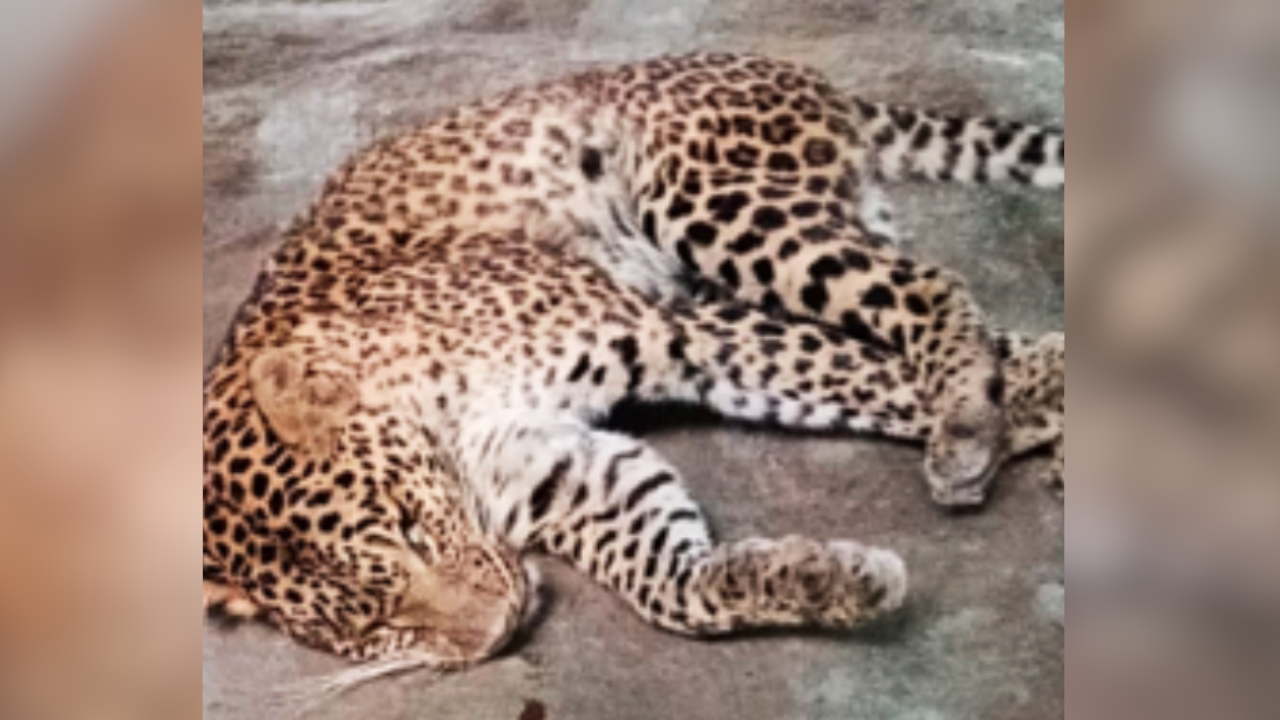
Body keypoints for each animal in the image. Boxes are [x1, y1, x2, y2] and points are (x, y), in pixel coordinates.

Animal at [203, 52, 1065, 674]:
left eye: (412, 530)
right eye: (376, 625)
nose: (501, 632)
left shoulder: (662, 329)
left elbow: (854, 377)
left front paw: (1010, 417)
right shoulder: (561, 468)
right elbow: (668, 583)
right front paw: (818, 579)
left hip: (702, 202)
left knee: (922, 290)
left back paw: (970, 421)